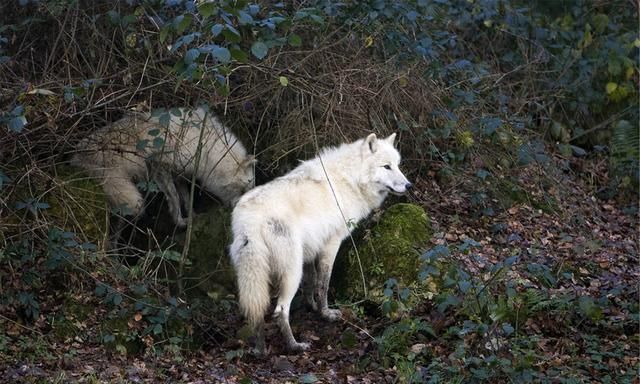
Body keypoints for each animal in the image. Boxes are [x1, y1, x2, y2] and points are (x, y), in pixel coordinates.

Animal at [72, 107, 255, 234]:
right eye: (243, 189)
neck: (206, 146)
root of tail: (76, 155)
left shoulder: (179, 174)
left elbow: (186, 198)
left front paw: (193, 216)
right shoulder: (159, 167)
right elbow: (174, 198)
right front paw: (180, 222)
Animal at [230, 133, 410, 354]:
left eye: (397, 165)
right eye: (386, 167)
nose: (409, 185)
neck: (350, 179)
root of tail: (250, 220)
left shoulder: (310, 251)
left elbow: (311, 282)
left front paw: (312, 306)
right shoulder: (330, 245)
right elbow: (323, 283)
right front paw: (325, 313)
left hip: (256, 275)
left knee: (257, 312)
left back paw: (260, 350)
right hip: (292, 272)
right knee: (280, 310)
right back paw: (295, 345)